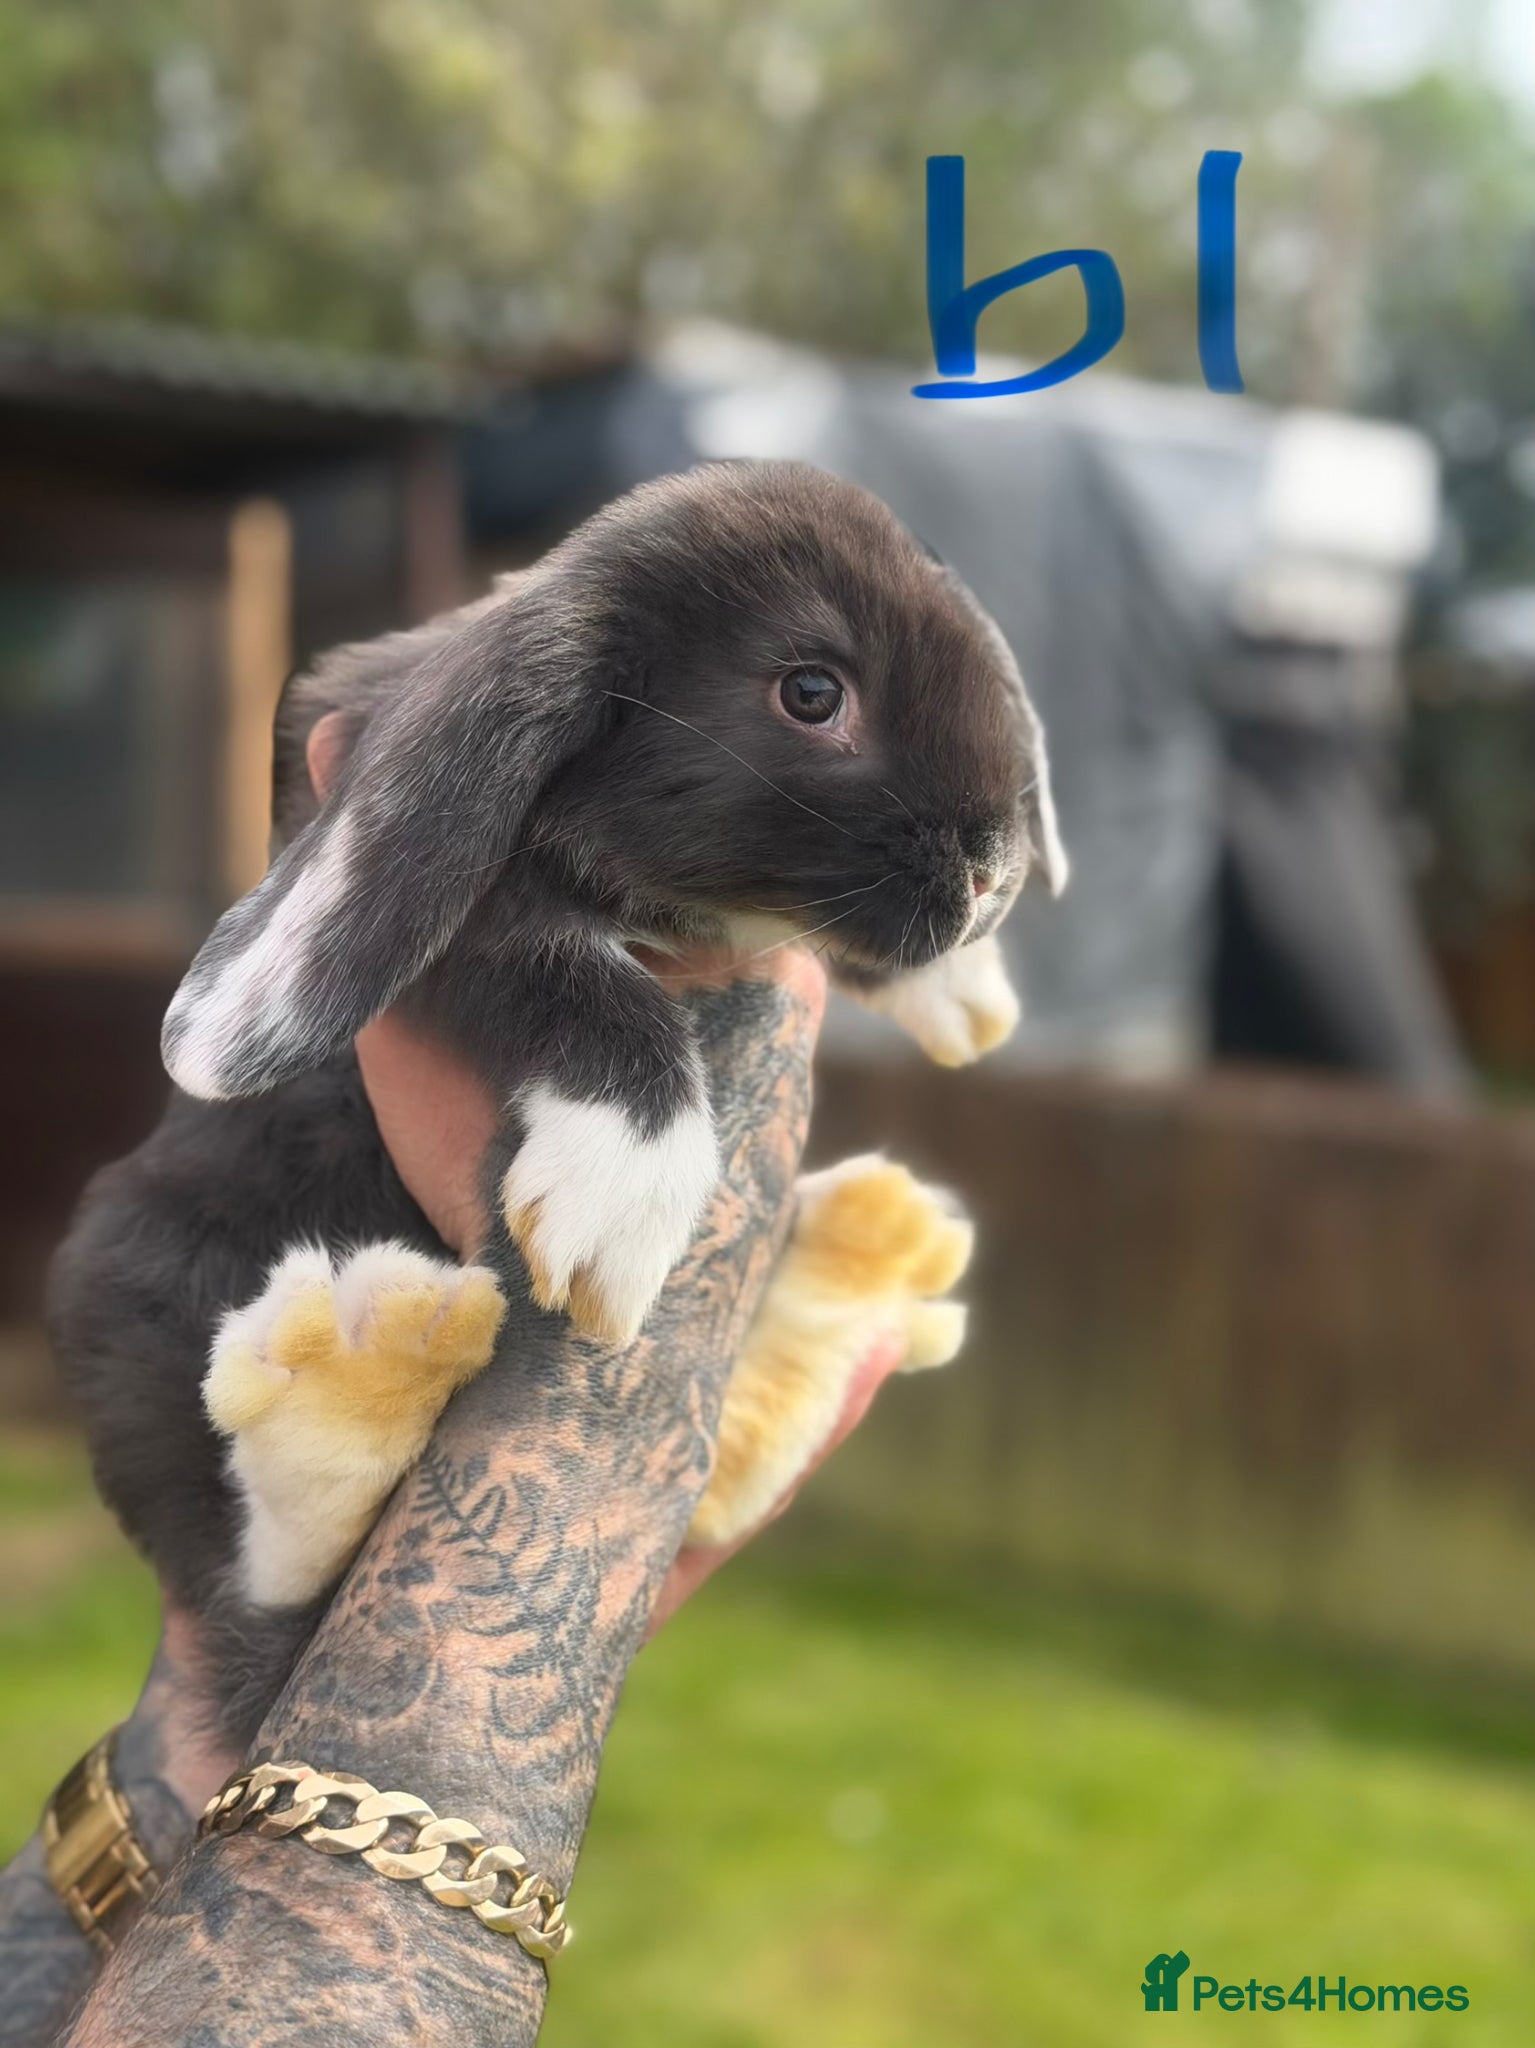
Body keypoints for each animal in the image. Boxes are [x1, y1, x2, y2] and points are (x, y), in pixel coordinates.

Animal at [48, 460, 1065, 1746]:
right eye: (811, 691)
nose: (988, 870)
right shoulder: (463, 913)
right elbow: (577, 980)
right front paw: (619, 1202)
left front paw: (967, 995)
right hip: (138, 1279)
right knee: (263, 1569)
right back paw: (353, 1366)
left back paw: (870, 1253)